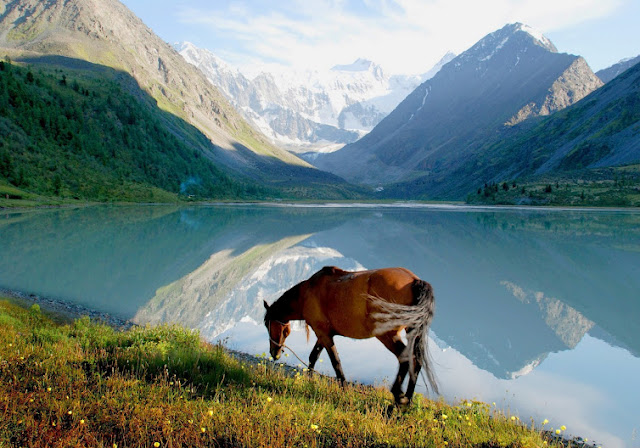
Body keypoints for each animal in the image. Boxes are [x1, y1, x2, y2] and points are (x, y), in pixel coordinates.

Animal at [262, 266, 438, 406]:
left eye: (267, 324)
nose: (274, 353)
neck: (307, 293)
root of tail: (415, 280)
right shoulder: (323, 334)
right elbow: (313, 356)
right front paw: (309, 380)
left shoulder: (323, 334)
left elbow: (335, 362)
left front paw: (343, 389)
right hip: (411, 332)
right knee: (416, 360)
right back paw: (407, 401)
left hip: (387, 334)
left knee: (405, 358)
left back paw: (397, 398)